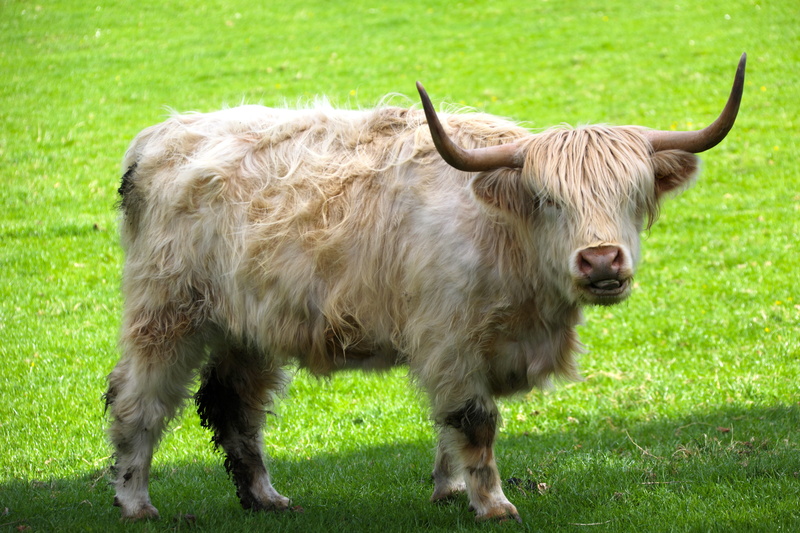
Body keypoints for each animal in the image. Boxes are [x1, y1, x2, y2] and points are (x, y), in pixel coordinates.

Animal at [105, 54, 745, 522]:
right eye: (546, 198)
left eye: (633, 195)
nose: (600, 260)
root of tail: (158, 138)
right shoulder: (450, 339)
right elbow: (474, 420)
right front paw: (493, 504)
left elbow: (448, 424)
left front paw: (450, 491)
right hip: (166, 315)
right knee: (138, 400)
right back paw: (136, 503)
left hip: (249, 326)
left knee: (237, 406)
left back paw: (266, 498)